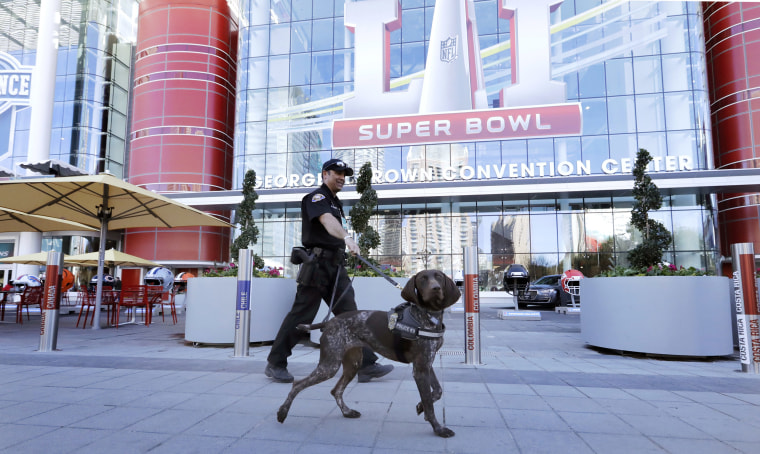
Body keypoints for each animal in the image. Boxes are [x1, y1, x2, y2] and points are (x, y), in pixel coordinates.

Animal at [276, 270, 460, 436]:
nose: (435, 288)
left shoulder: (426, 363)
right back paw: (282, 412)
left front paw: (420, 407)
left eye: (439, 277)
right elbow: (429, 403)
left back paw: (347, 412)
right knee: (297, 384)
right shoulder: (420, 368)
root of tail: (330, 322)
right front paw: (438, 428)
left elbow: (437, 391)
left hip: (353, 363)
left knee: (336, 390)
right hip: (329, 366)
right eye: (422, 279)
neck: (428, 316)